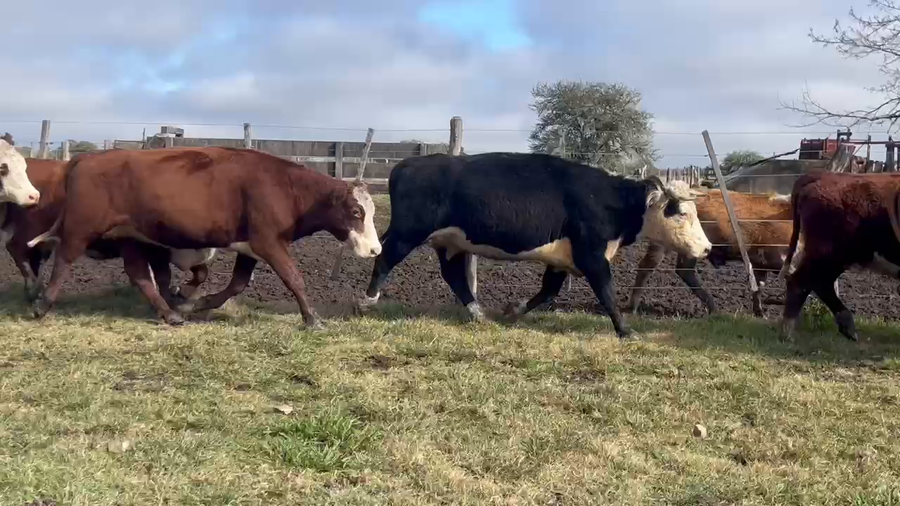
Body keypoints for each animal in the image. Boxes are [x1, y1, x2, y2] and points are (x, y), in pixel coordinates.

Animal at [1, 156, 214, 303]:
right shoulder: (155, 249)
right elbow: (160, 276)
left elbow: (201, 273)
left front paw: (183, 293)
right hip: (32, 229)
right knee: (15, 247)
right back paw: (32, 288)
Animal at [27, 146, 381, 327]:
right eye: (356, 212)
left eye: (371, 211)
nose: (375, 249)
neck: (285, 187)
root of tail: (85, 158)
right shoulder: (269, 242)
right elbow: (295, 279)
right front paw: (311, 319)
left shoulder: (249, 248)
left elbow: (236, 284)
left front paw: (193, 302)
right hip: (81, 227)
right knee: (64, 260)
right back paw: (42, 304)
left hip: (133, 238)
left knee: (139, 274)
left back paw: (171, 313)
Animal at [356, 152, 712, 339]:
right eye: (681, 212)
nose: (707, 248)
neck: (608, 199)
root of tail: (408, 164)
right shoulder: (592, 256)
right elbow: (608, 294)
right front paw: (626, 331)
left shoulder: (561, 260)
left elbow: (547, 292)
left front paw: (513, 312)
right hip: (407, 233)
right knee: (384, 258)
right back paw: (367, 300)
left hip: (450, 243)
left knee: (454, 276)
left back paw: (479, 313)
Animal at [627, 189, 793, 317]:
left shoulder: (760, 262)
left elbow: (758, 286)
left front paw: (760, 313)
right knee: (681, 270)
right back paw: (713, 308)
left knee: (648, 265)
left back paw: (632, 307)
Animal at [780, 170, 900, 342]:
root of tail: (822, 174)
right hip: (827, 254)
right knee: (800, 282)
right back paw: (788, 334)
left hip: (834, 258)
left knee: (820, 283)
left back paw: (847, 328)